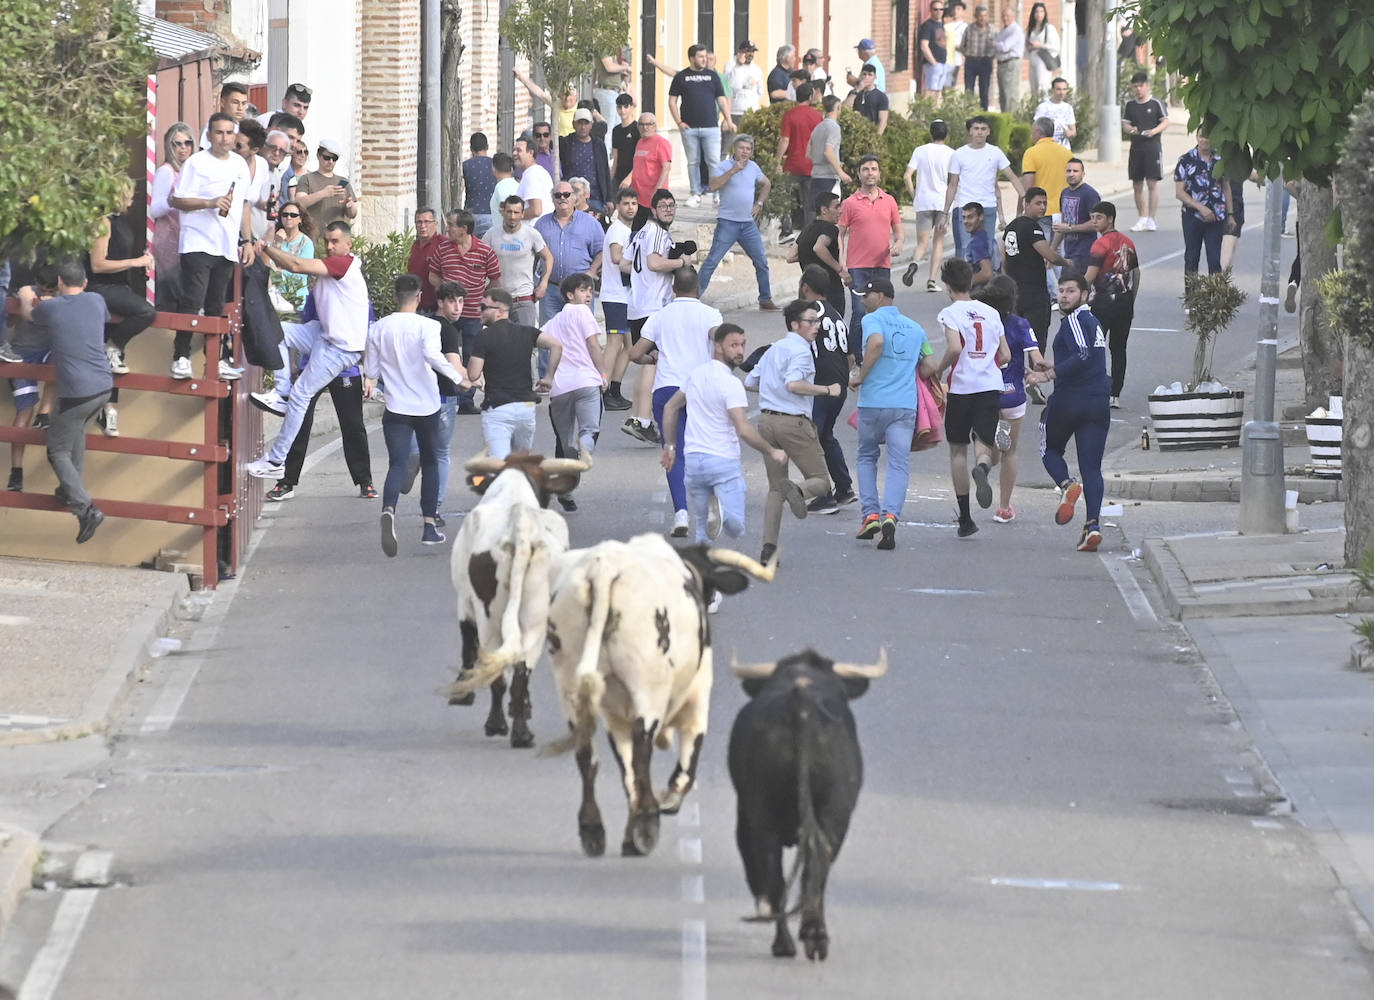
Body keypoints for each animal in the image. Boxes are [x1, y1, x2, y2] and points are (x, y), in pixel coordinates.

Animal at [442, 450, 588, 747]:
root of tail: (520, 528)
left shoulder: (464, 602)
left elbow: (467, 645)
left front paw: (463, 692)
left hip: (490, 617)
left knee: (496, 664)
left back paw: (497, 724)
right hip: (536, 617)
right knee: (522, 667)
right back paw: (521, 730)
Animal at [541, 538, 780, 857]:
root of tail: (603, 567)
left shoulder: (615, 716)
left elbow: (626, 771)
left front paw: (628, 837)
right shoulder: (698, 697)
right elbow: (687, 762)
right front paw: (668, 801)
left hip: (569, 684)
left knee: (589, 755)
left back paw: (594, 829)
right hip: (648, 687)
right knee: (643, 753)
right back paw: (647, 823)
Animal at [725, 648, 884, 961]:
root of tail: (801, 703)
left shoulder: (745, 817)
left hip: (764, 819)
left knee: (779, 874)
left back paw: (786, 942)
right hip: (831, 817)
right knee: (814, 868)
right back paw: (812, 937)